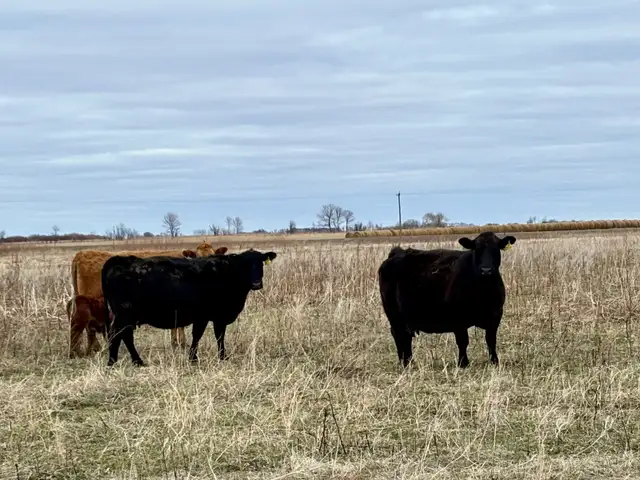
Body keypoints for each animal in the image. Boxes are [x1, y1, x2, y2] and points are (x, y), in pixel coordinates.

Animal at [67, 242, 228, 357]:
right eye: (198, 257)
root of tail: (82, 254)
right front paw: (180, 344)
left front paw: (176, 343)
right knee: (87, 327)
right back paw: (96, 349)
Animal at [101, 248, 277, 367]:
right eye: (244, 265)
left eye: (260, 263)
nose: (256, 283)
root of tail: (119, 260)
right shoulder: (210, 316)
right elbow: (206, 335)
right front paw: (203, 358)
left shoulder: (211, 316)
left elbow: (211, 336)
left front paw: (212, 357)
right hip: (124, 314)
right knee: (116, 334)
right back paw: (113, 361)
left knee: (125, 336)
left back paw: (135, 361)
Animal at [378, 231, 516, 368]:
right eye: (476, 249)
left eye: (496, 249)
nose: (486, 270)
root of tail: (398, 252)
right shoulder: (458, 317)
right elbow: (462, 341)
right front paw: (463, 363)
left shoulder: (496, 314)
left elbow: (491, 340)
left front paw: (494, 362)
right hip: (394, 314)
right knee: (399, 335)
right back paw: (405, 363)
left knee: (405, 337)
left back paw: (409, 362)